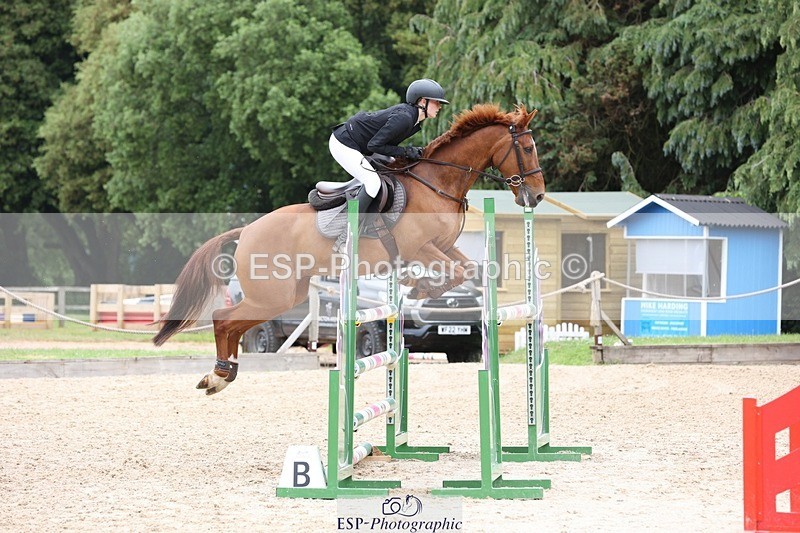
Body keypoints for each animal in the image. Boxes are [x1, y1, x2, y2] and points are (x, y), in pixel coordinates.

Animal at [153, 103, 545, 395]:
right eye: (527, 148)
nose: (537, 196)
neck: (437, 183)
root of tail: (247, 229)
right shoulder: (421, 250)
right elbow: (458, 271)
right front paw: (421, 288)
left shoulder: (445, 247)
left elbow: (470, 271)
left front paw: (424, 289)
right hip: (272, 295)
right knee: (224, 319)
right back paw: (218, 375)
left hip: (285, 295)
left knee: (234, 324)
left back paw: (224, 374)